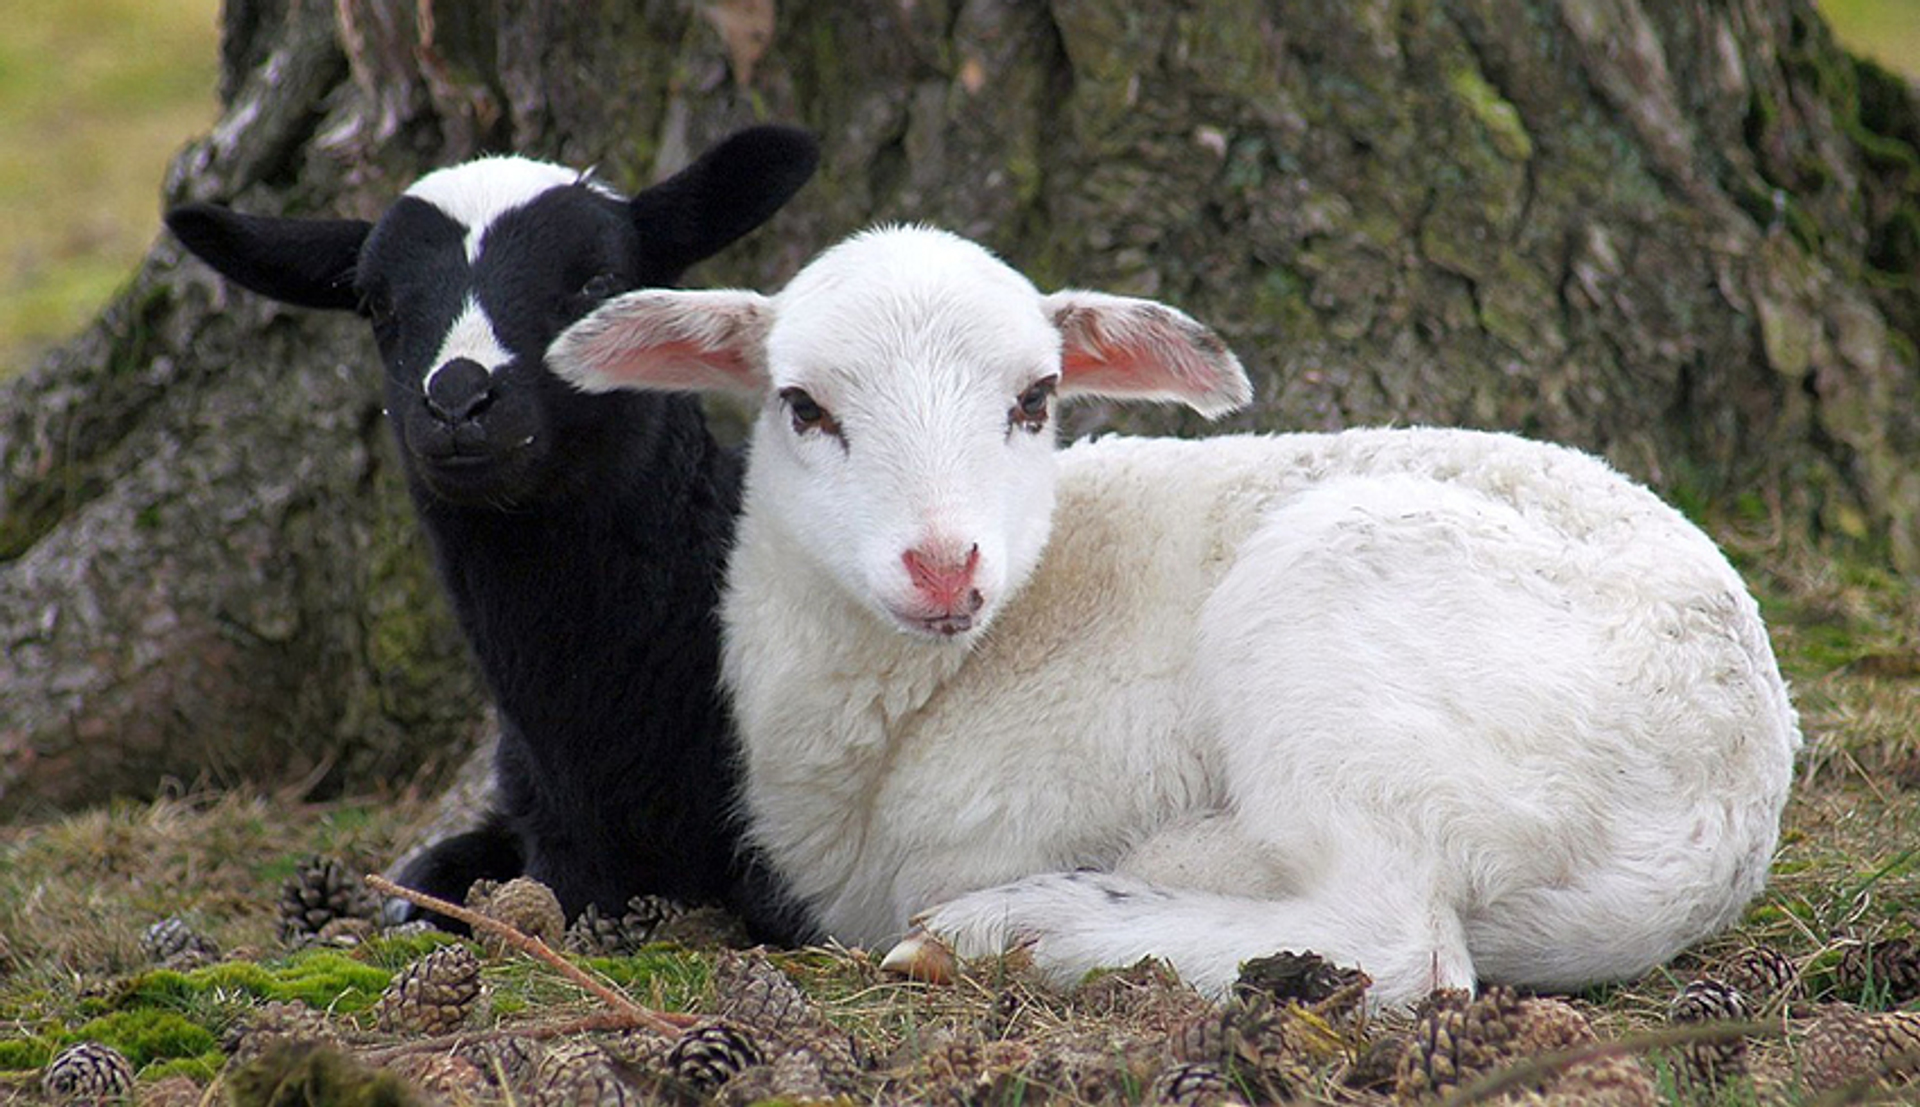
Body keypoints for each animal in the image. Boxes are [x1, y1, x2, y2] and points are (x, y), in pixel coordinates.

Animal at [545, 224, 1797, 997]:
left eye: (1038, 399)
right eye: (802, 406)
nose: (945, 568)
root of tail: (1728, 816)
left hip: (1340, 634)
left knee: (1397, 947)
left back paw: (1023, 931)